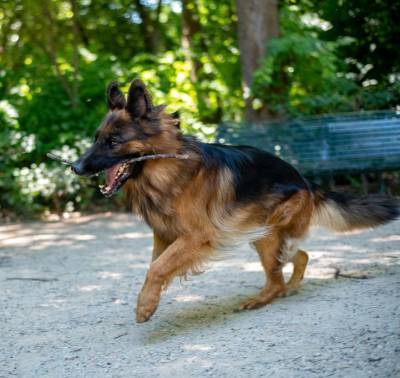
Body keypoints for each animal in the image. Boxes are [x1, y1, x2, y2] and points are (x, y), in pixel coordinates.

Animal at [70, 79, 398, 322]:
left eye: (113, 142)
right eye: (96, 138)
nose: (75, 167)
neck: (167, 168)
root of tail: (306, 180)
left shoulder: (196, 236)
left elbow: (157, 268)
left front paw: (145, 306)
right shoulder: (164, 236)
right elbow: (156, 266)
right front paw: (149, 298)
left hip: (267, 233)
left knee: (279, 273)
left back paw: (262, 299)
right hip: (260, 234)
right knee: (299, 256)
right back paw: (290, 287)